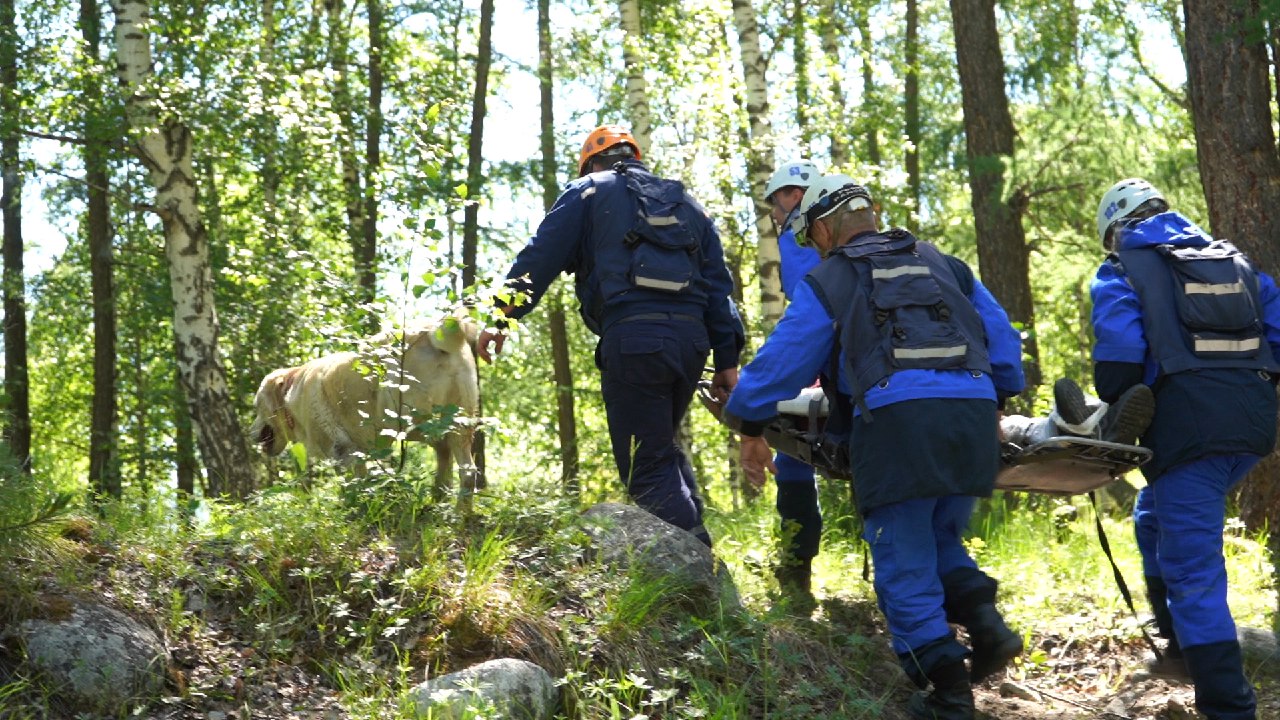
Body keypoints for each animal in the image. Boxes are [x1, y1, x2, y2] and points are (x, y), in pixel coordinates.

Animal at [247, 313, 481, 499]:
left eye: (257, 407)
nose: (250, 433)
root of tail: (432, 335)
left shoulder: (341, 451)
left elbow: (351, 485)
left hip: (405, 419)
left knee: (446, 452)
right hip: (455, 422)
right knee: (466, 470)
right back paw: (453, 508)